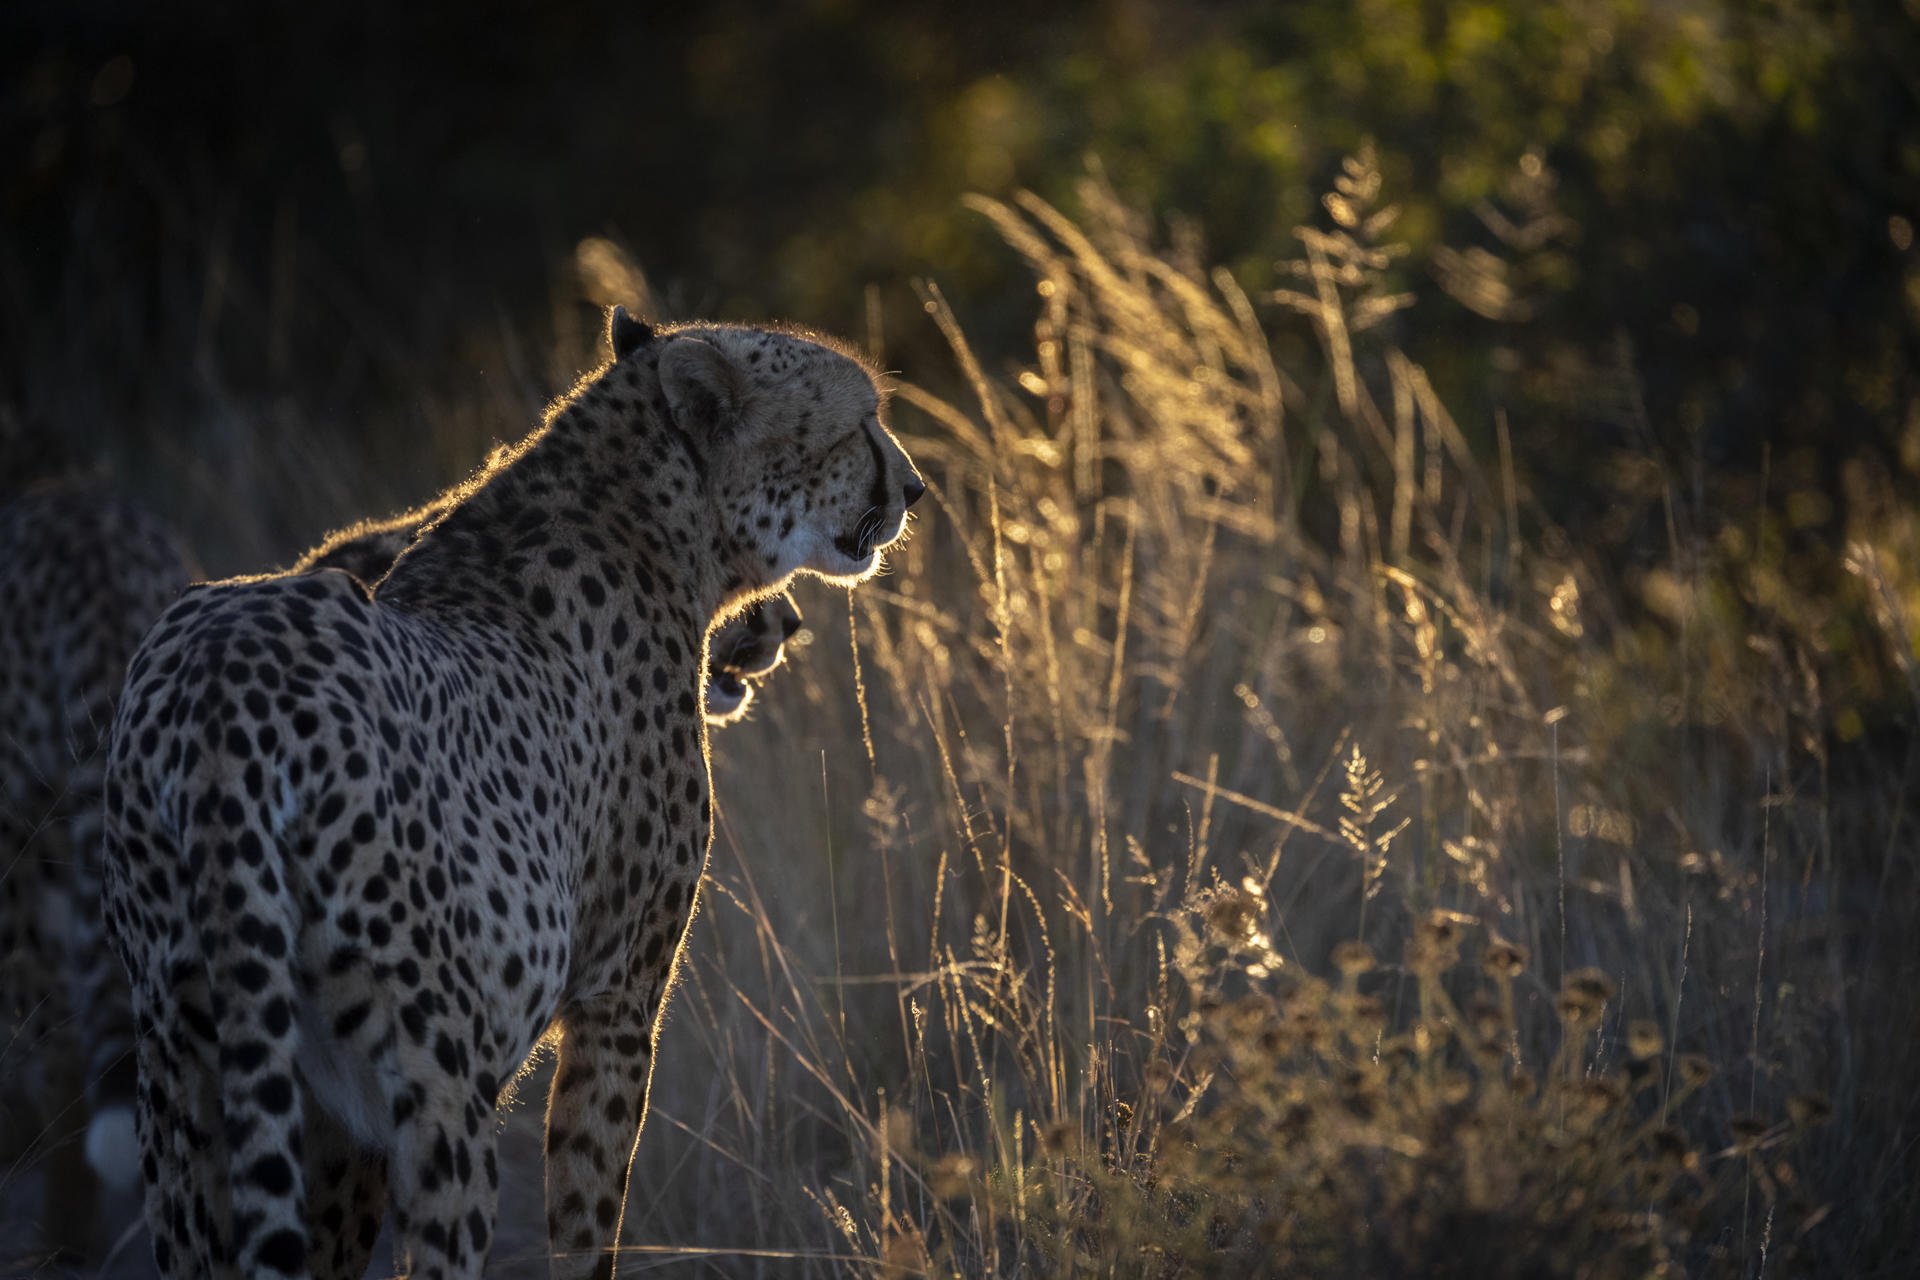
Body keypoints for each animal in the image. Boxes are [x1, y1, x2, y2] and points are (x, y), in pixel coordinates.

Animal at [101, 312, 925, 1280]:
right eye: (858, 423)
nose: (916, 487)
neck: (654, 516)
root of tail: (222, 671)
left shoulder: (334, 1125)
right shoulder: (618, 996)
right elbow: (588, 1219)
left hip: (184, 1073)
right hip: (437, 1083)